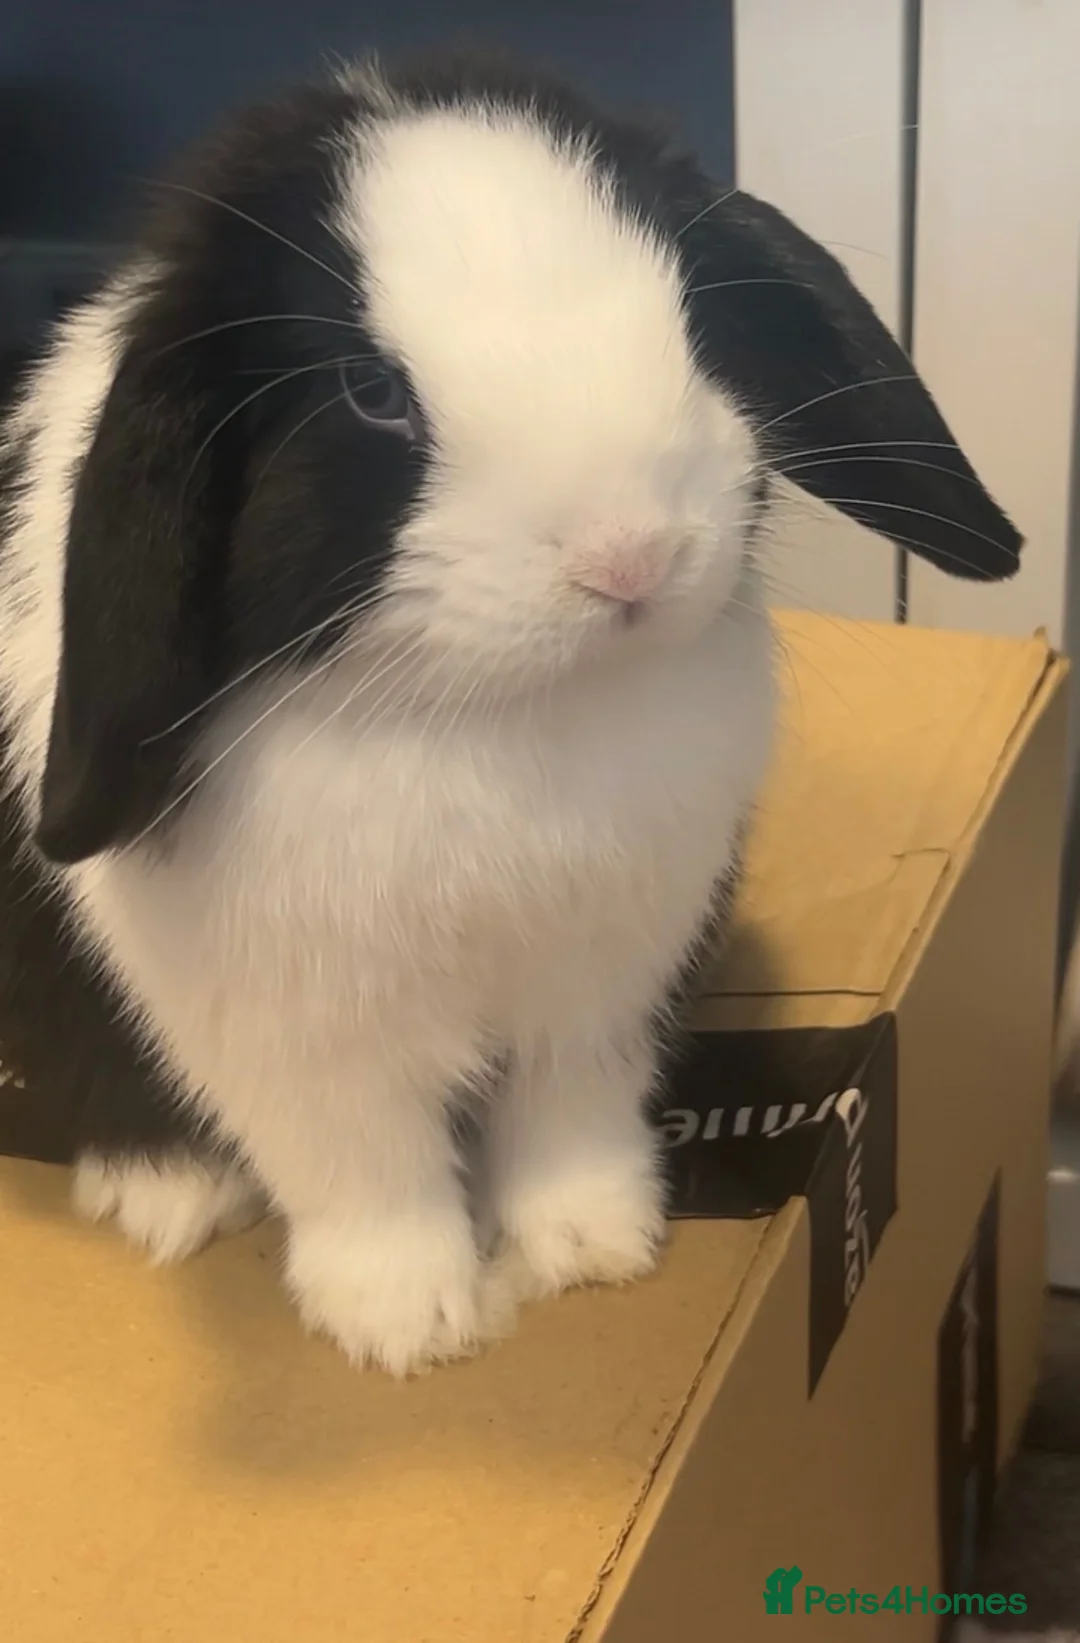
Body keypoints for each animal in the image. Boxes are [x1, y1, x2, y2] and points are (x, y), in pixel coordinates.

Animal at [0, 49, 1021, 1375]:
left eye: (693, 319)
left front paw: (594, 1248)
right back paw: (168, 1192)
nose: (629, 555)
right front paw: (408, 1326)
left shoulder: (602, 987)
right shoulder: (298, 1029)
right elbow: (364, 1166)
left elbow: (567, 1117)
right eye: (372, 391)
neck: (509, 708)